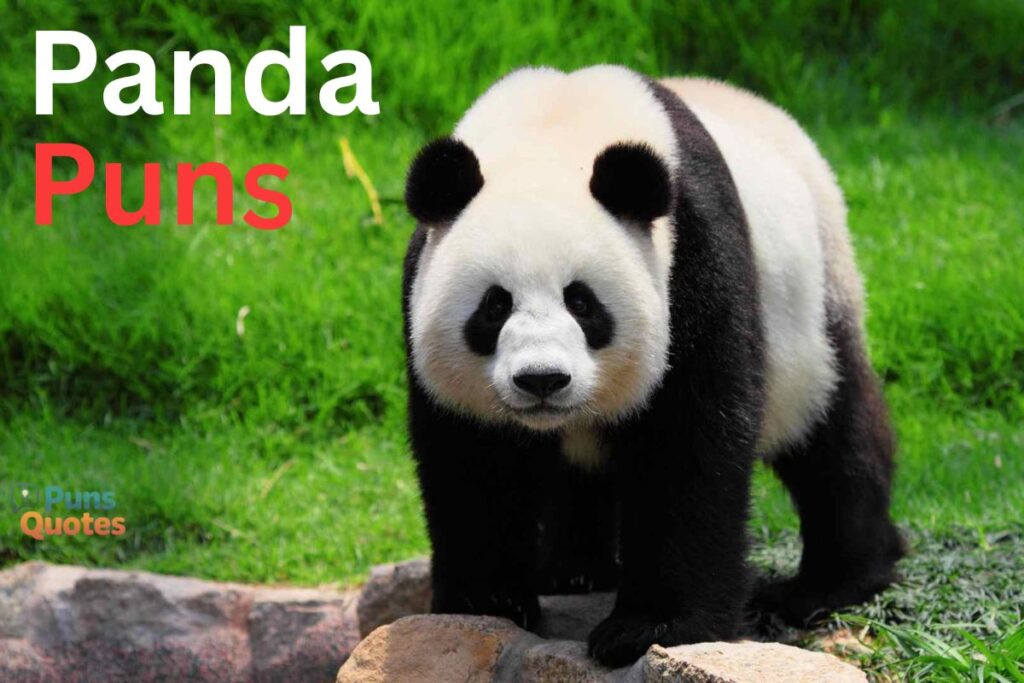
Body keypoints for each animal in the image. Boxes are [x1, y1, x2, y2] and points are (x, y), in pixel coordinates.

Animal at [401, 65, 905, 667]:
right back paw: (573, 571)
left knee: (833, 432)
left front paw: (649, 627)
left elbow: (687, 442)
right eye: (494, 306)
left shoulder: (694, 257)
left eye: (582, 302)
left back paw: (831, 584)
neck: (555, 129)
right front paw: (488, 599)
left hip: (814, 303)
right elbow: (474, 458)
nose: (542, 380)